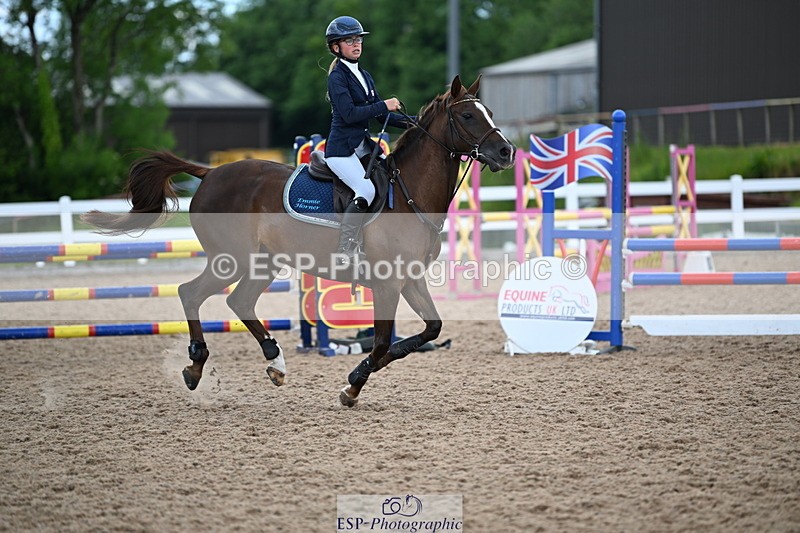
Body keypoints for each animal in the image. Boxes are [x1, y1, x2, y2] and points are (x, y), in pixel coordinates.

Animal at [82, 75, 515, 407]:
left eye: (490, 114)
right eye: (467, 115)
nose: (506, 152)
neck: (409, 195)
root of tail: (210, 173)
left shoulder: (410, 280)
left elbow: (429, 330)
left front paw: (369, 369)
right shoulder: (388, 283)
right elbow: (378, 344)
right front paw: (352, 385)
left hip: (264, 262)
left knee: (238, 302)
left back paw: (275, 363)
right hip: (231, 260)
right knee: (191, 293)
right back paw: (195, 366)